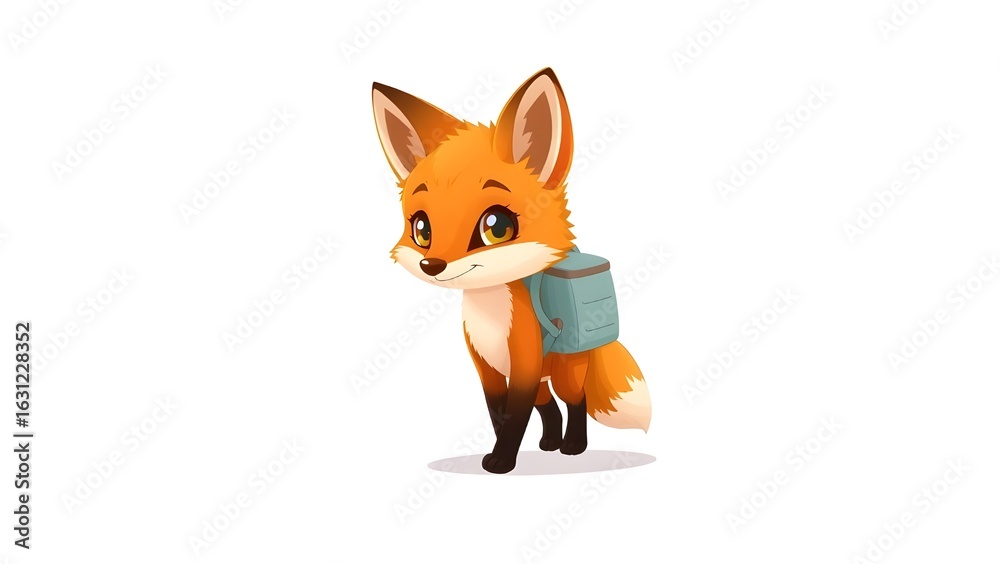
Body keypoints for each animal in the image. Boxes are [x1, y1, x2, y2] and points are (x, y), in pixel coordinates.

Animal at [372, 68, 650, 474]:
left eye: (497, 227)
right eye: (422, 229)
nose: (432, 265)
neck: (490, 317)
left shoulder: (524, 366)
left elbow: (515, 417)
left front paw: (501, 461)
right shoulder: (488, 367)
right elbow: (498, 413)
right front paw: (502, 449)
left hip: (562, 373)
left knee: (575, 401)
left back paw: (573, 446)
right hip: (543, 380)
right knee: (549, 407)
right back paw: (549, 443)